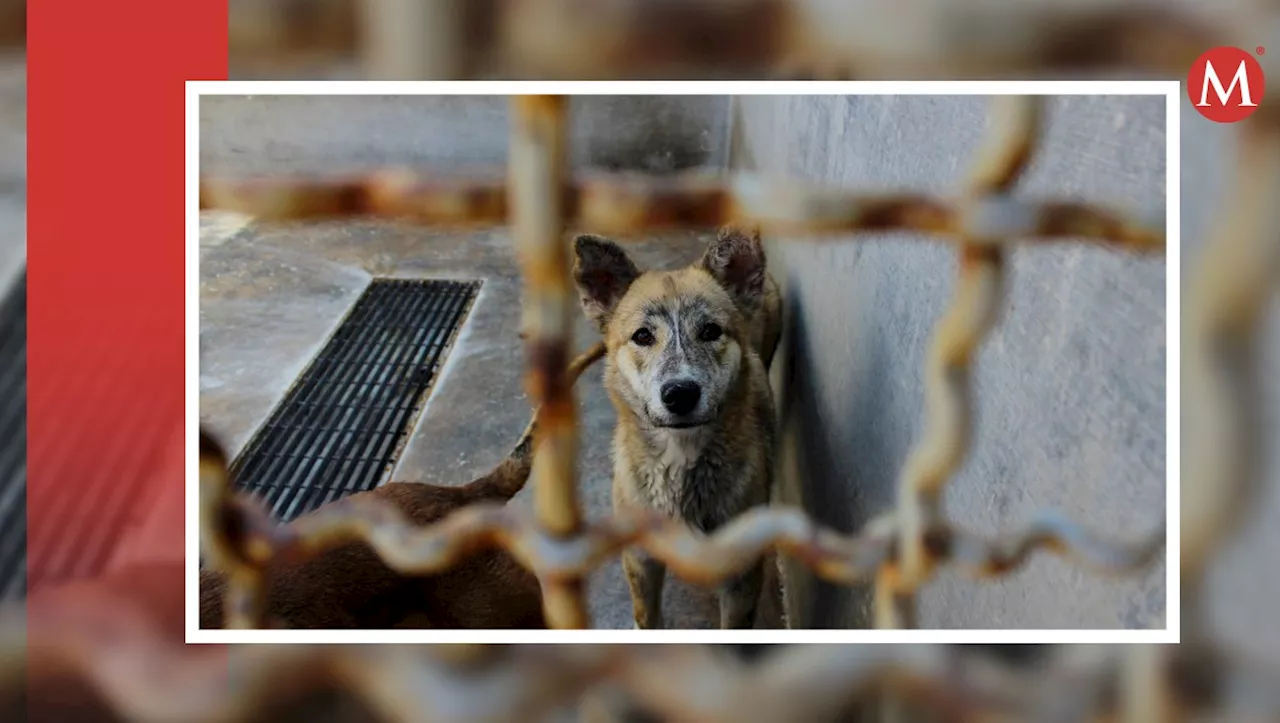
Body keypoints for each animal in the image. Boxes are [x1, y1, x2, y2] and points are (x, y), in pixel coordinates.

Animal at [573, 225, 788, 627]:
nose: (680, 394)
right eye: (642, 336)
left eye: (711, 331)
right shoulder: (640, 561)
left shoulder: (741, 579)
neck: (679, 460)